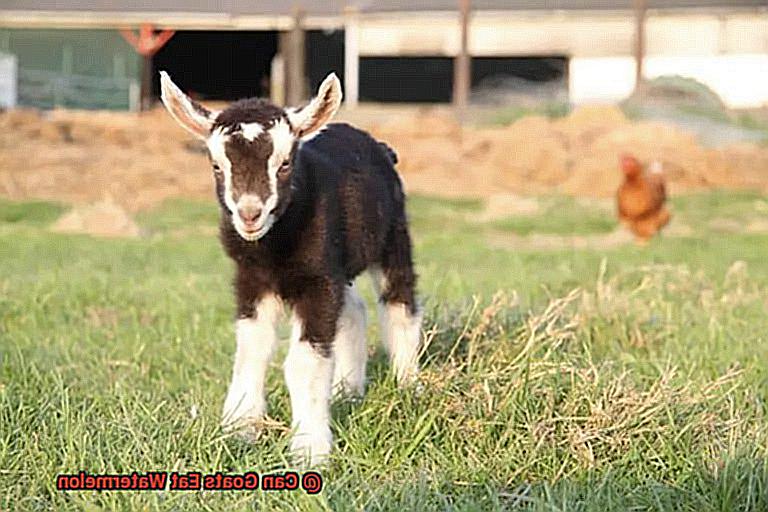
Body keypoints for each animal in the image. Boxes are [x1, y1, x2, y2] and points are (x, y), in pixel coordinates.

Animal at [160, 70, 420, 466]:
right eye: (217, 166)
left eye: (284, 164)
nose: (250, 214)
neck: (273, 251)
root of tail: (377, 145)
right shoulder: (252, 280)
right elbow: (251, 350)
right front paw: (239, 427)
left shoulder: (317, 280)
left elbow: (303, 362)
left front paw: (310, 450)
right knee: (354, 311)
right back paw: (347, 390)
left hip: (392, 235)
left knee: (399, 303)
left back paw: (409, 384)